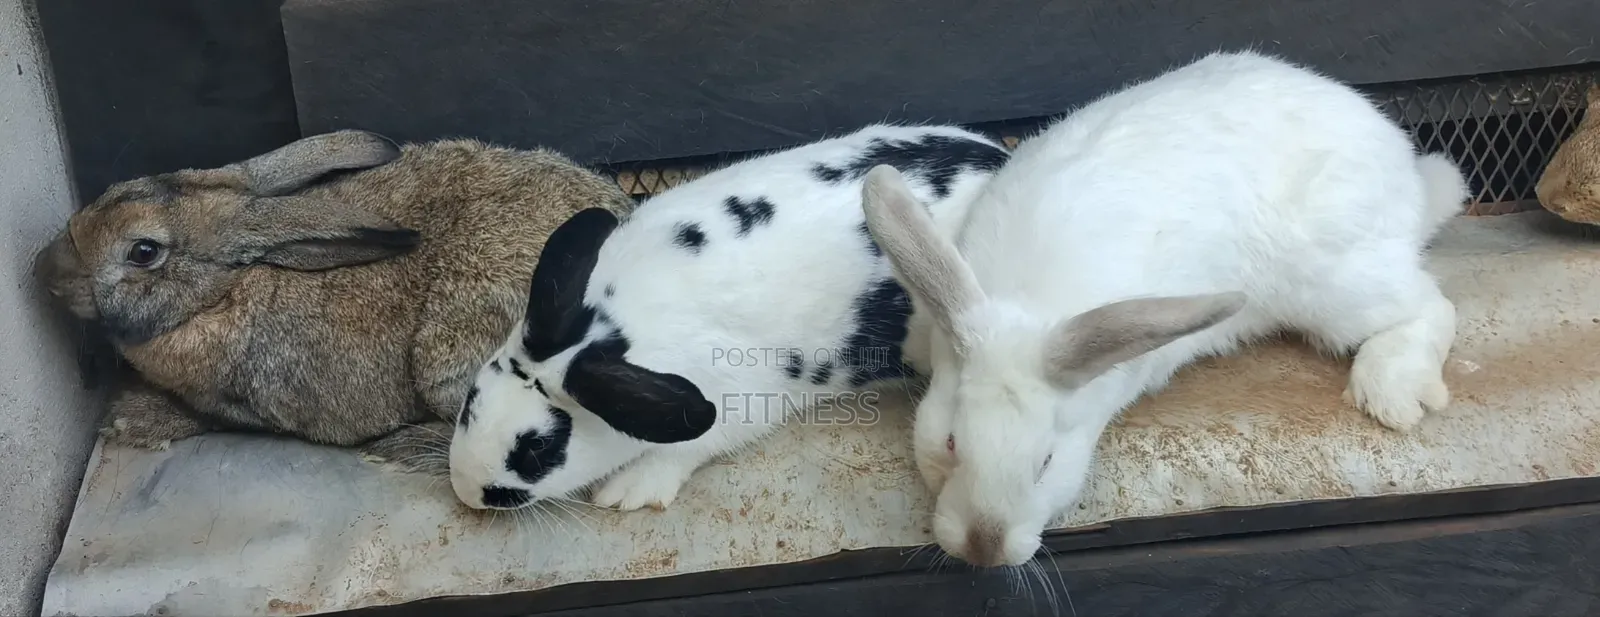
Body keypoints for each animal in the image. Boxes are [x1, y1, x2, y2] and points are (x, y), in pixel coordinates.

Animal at [34, 130, 635, 474]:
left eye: (143, 251)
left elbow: (212, 421)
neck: (229, 288)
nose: (43, 270)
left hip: (450, 359)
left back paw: (405, 448)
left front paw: (131, 421)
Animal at [446, 124, 1009, 511]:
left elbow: (684, 449)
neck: (616, 330)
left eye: (538, 450)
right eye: (471, 402)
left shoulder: (740, 395)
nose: (466, 489)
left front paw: (627, 491)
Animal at [859, 50, 1469, 568]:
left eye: (1046, 463)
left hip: (1335, 285)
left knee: (1431, 305)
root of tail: (1402, 166)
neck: (1033, 305)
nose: (983, 549)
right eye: (951, 443)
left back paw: (1390, 391)